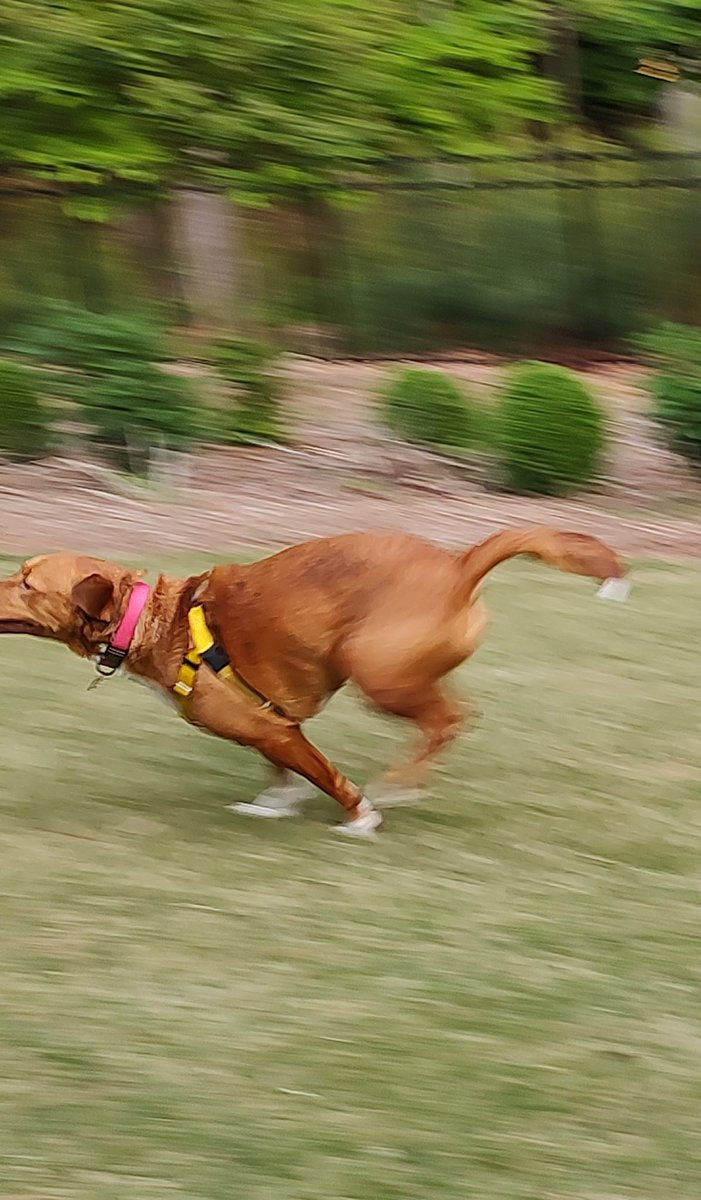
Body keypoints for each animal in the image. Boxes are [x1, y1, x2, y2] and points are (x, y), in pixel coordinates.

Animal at [0, 530, 624, 840]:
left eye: (27, 582)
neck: (153, 619)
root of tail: (459, 565)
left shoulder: (276, 731)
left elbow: (327, 777)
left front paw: (360, 818)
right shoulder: (270, 724)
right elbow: (282, 774)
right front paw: (274, 806)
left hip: (379, 675)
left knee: (449, 720)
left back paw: (400, 785)